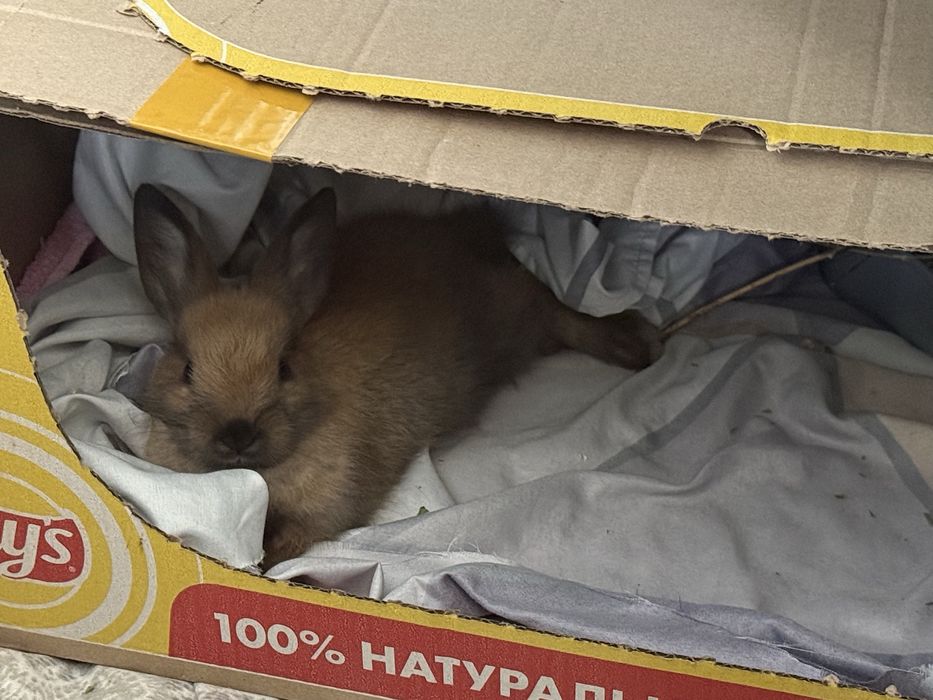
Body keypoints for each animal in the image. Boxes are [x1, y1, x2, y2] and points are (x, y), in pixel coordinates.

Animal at [133, 183, 660, 567]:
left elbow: (298, 538)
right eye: (187, 368)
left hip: (515, 313)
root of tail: (464, 234)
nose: (238, 434)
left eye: (284, 366)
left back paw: (635, 348)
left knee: (554, 306)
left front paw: (265, 563)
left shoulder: (329, 505)